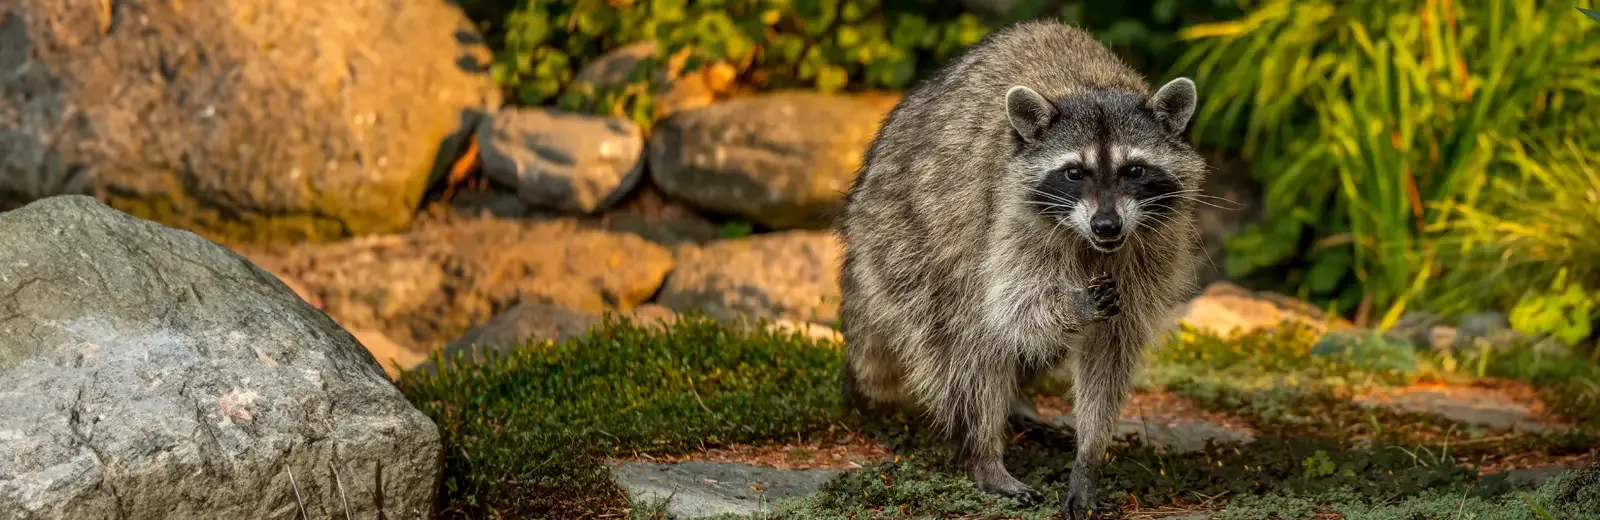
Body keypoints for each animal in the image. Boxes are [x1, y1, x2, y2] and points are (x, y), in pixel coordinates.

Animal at [835, 19, 1206, 518]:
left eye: (1135, 170)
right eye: (1074, 172)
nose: (1106, 224)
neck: (1091, 86)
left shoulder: (1152, 245)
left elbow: (1110, 347)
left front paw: (1089, 456)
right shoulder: (1009, 216)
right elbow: (1012, 307)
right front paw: (1072, 306)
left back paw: (1020, 408)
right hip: (910, 240)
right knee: (968, 338)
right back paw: (984, 452)